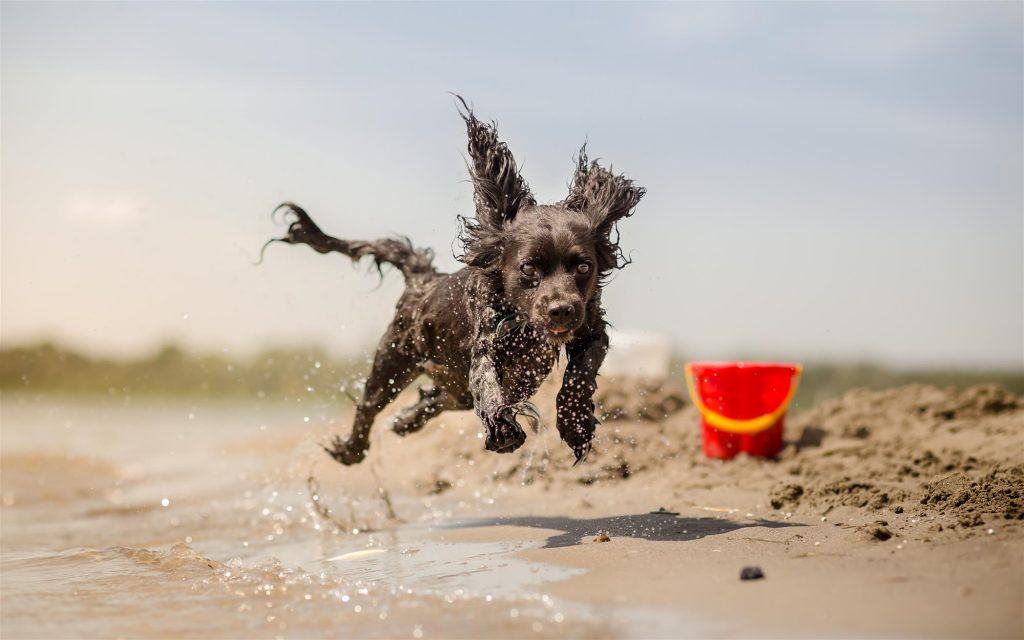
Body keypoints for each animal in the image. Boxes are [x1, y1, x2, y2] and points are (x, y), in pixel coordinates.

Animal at [268, 99, 643, 466]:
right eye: (528, 268)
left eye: (583, 267)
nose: (562, 310)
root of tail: (423, 280)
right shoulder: (486, 340)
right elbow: (488, 382)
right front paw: (504, 428)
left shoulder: (591, 326)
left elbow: (582, 371)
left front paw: (575, 424)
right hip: (394, 358)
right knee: (370, 404)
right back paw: (351, 449)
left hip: (444, 381)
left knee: (441, 397)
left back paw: (407, 420)